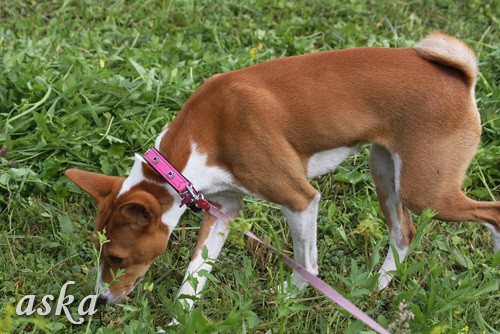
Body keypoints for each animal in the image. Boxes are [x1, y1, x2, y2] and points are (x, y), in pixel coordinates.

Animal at [66, 32, 500, 306]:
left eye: (117, 258)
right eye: (99, 253)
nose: (100, 300)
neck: (187, 158)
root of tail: (460, 78)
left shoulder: (300, 199)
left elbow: (306, 264)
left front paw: (292, 296)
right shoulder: (225, 208)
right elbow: (195, 272)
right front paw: (180, 317)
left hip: (426, 191)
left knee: (491, 212)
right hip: (386, 173)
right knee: (404, 232)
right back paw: (377, 287)